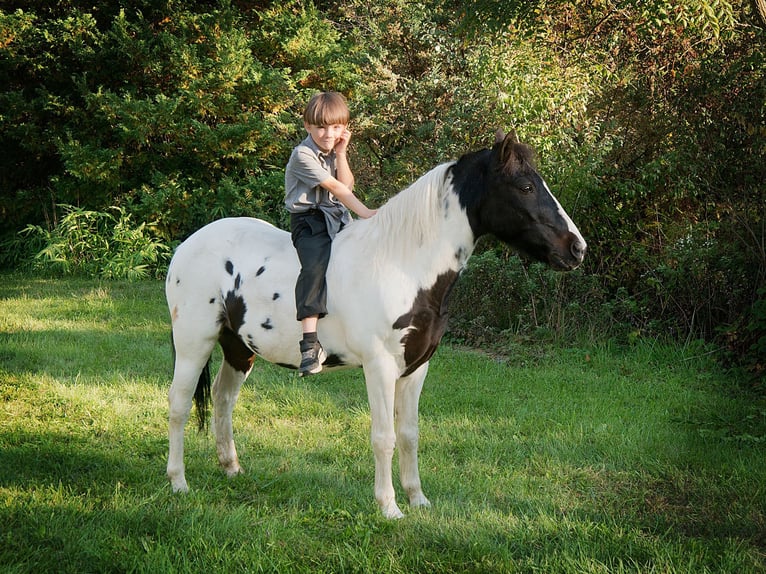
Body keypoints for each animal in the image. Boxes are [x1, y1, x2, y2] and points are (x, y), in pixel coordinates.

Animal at [166, 130, 588, 520]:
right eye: (526, 186)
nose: (577, 248)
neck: (401, 265)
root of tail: (187, 246)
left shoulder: (416, 368)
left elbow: (409, 434)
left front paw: (417, 499)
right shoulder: (380, 366)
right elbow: (383, 437)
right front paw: (389, 507)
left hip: (239, 348)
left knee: (223, 399)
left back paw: (231, 469)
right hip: (194, 343)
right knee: (179, 404)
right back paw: (178, 483)